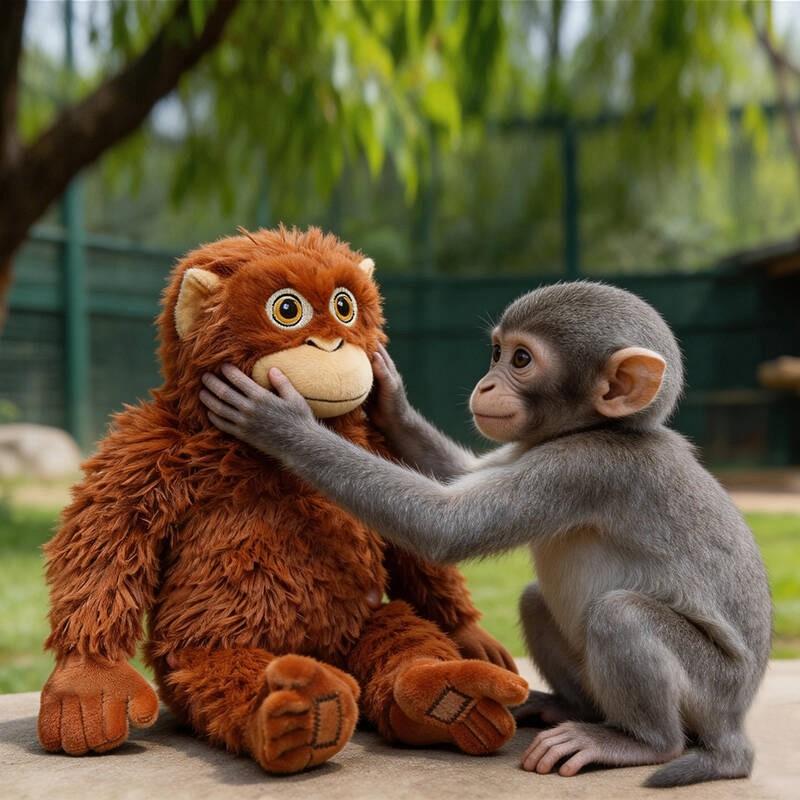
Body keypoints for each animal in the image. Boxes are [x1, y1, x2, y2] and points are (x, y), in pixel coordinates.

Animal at [200, 280, 772, 787]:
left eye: (520, 360)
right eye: (497, 353)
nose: (486, 384)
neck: (606, 427)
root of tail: (735, 724)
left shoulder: (586, 465)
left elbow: (447, 526)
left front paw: (280, 422)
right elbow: (458, 475)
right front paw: (392, 400)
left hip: (712, 688)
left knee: (620, 615)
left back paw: (640, 742)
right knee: (536, 599)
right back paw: (567, 708)